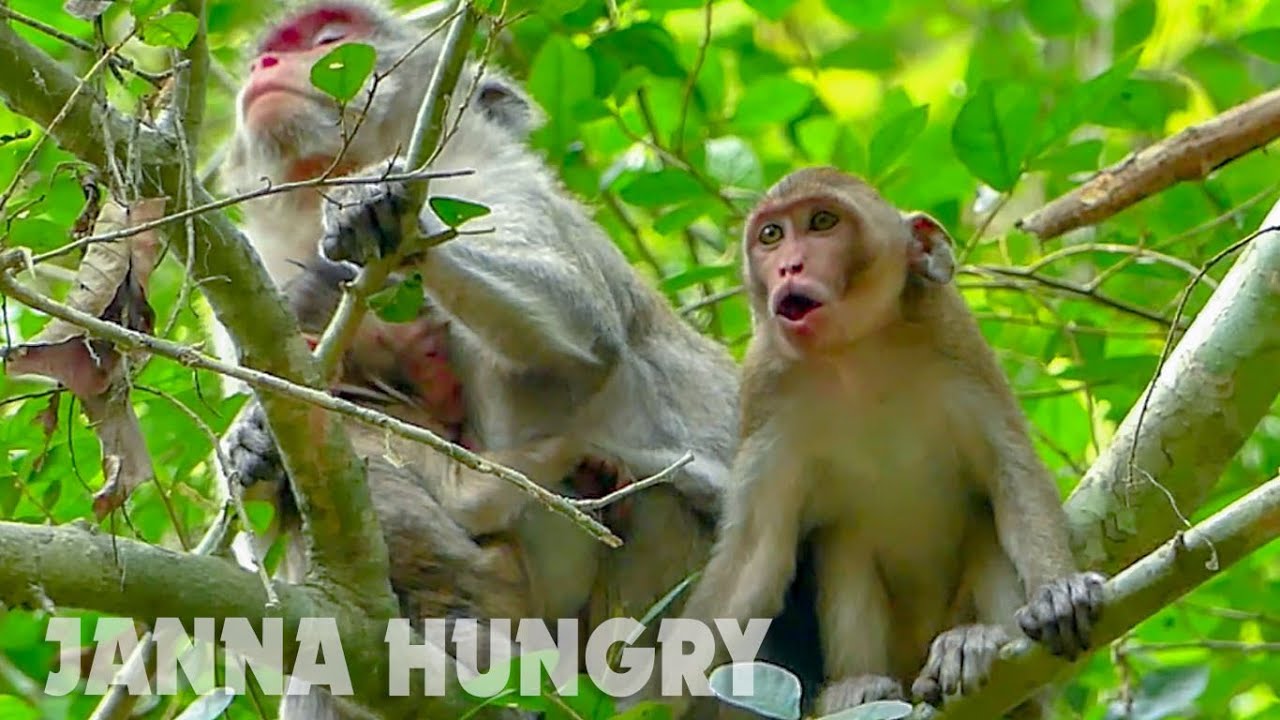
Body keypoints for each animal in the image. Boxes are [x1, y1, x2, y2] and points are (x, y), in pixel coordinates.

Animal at [649, 167, 1105, 718]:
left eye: (822, 222)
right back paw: (859, 688)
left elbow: (1009, 476)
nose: (788, 266)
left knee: (983, 521)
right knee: (844, 540)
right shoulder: (766, 391)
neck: (855, 354)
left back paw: (972, 645)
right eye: (772, 235)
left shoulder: (955, 340)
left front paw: (1056, 591)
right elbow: (754, 556)